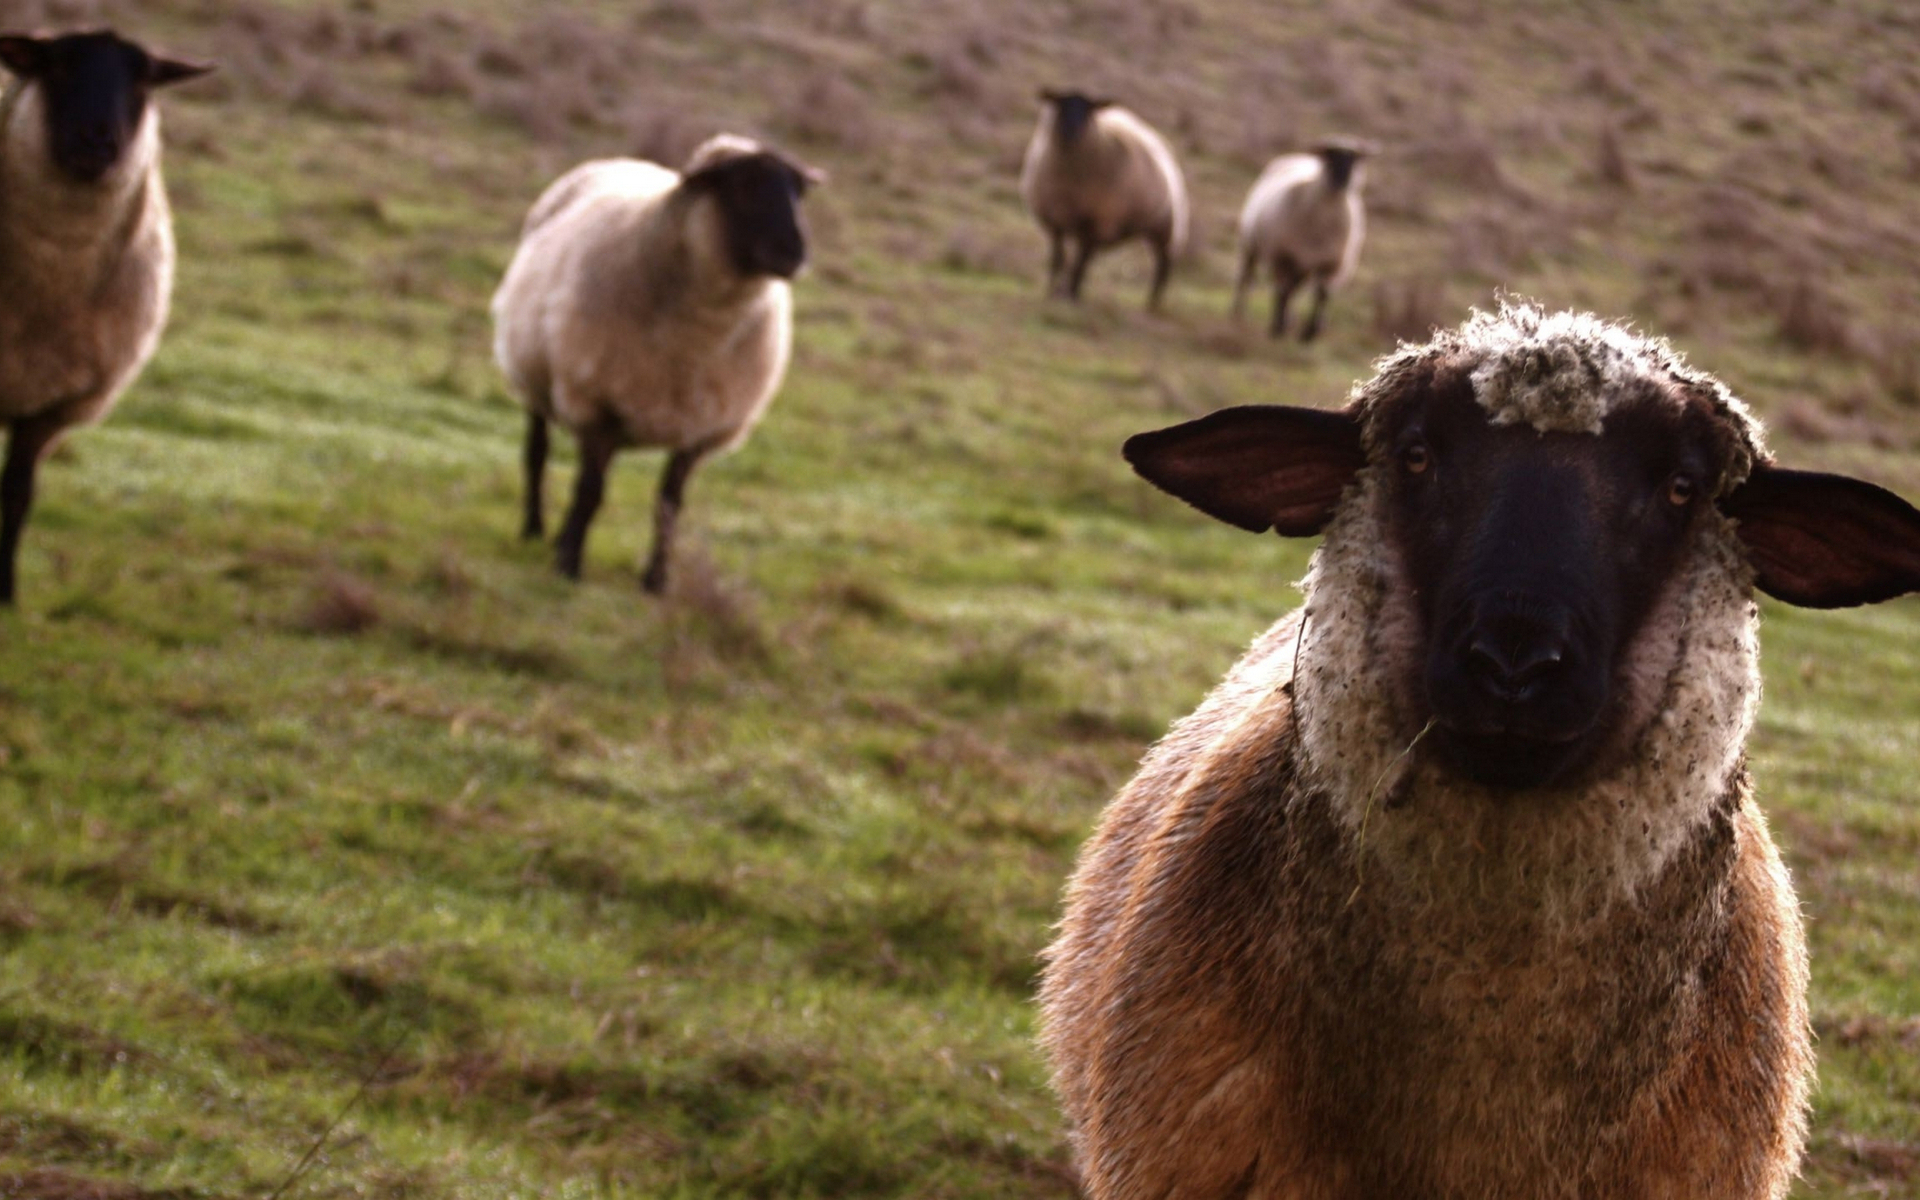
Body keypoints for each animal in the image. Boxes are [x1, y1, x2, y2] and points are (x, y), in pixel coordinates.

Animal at [0, 29, 211, 602]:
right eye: (56, 67)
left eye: (143, 81)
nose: (98, 142)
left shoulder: (57, 406)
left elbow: (18, 494)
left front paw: (5, 593)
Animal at [487, 133, 817, 591]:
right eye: (742, 185)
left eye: (797, 191)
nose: (795, 252)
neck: (698, 334)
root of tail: (620, 159)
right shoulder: (597, 403)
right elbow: (590, 491)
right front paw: (569, 565)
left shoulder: (699, 425)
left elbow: (668, 504)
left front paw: (656, 580)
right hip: (535, 377)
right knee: (536, 453)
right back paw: (535, 529)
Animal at [1021, 90, 1182, 312]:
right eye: (1061, 104)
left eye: (1089, 109)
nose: (1071, 131)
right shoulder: (1055, 220)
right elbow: (1058, 259)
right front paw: (1052, 291)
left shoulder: (1094, 222)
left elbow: (1079, 263)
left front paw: (1070, 295)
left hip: (1162, 227)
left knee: (1163, 265)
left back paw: (1152, 304)